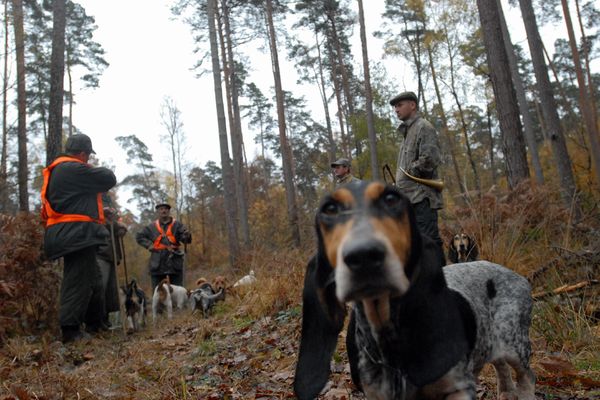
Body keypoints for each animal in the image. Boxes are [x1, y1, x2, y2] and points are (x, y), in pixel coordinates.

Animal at [292, 182, 532, 400]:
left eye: (391, 199)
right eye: (330, 209)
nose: (363, 254)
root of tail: (520, 278)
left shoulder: (458, 388)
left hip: (516, 348)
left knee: (526, 377)